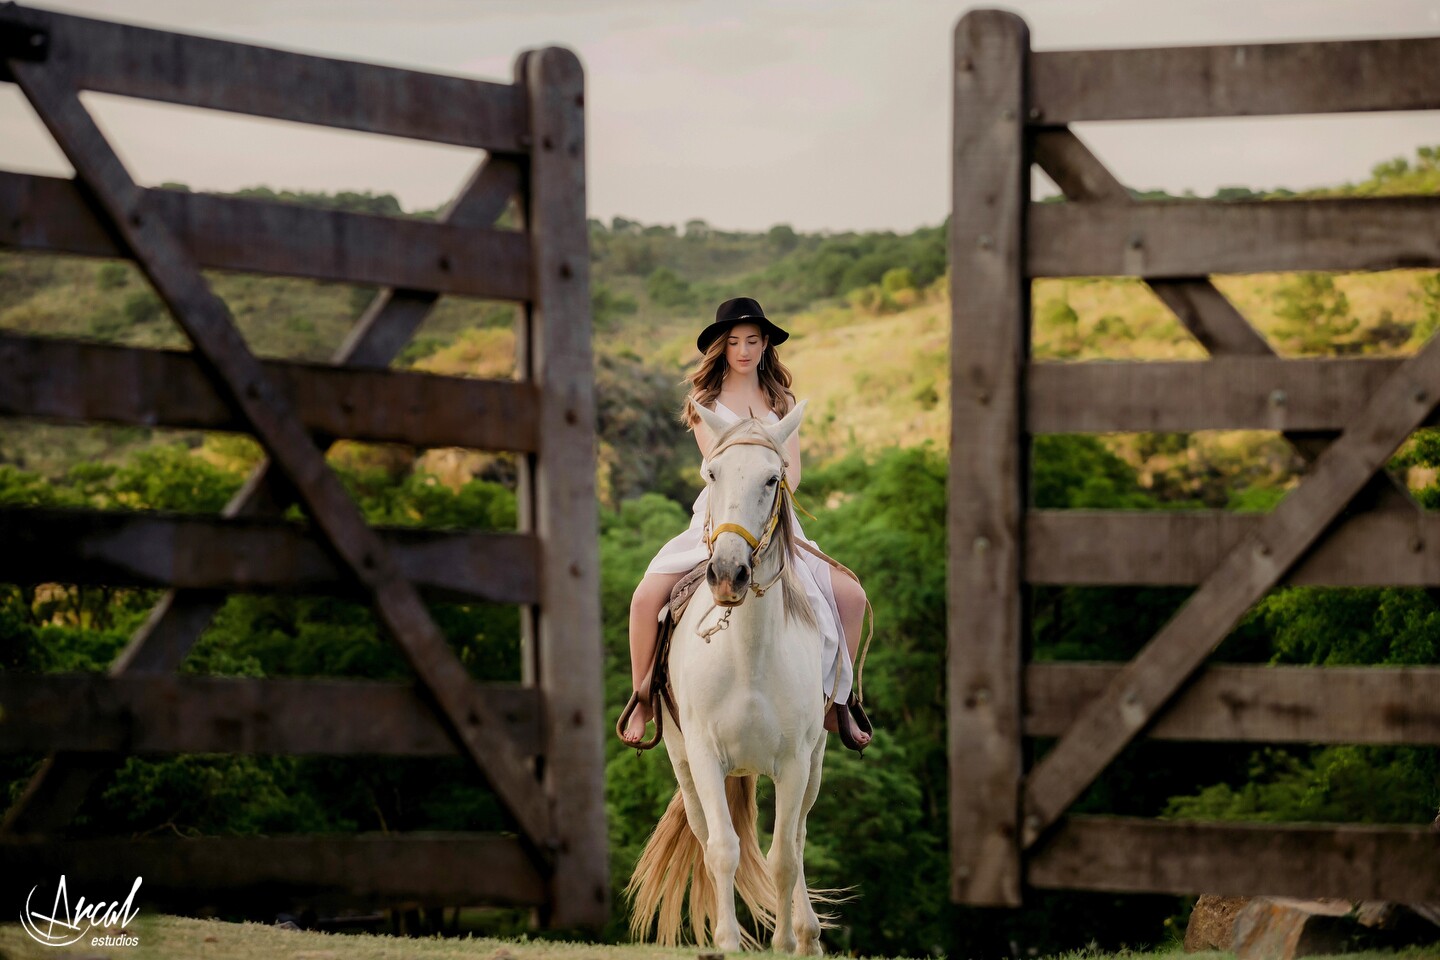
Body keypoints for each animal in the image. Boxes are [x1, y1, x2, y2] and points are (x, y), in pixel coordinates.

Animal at [624, 400, 829, 955]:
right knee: (705, 834)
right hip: (683, 762)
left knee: (798, 837)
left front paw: (784, 941)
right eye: (711, 473)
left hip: (814, 764)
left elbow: (784, 855)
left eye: (772, 478)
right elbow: (721, 849)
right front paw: (727, 939)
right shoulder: (704, 754)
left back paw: (807, 935)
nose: (728, 574)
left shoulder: (795, 762)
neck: (748, 659)